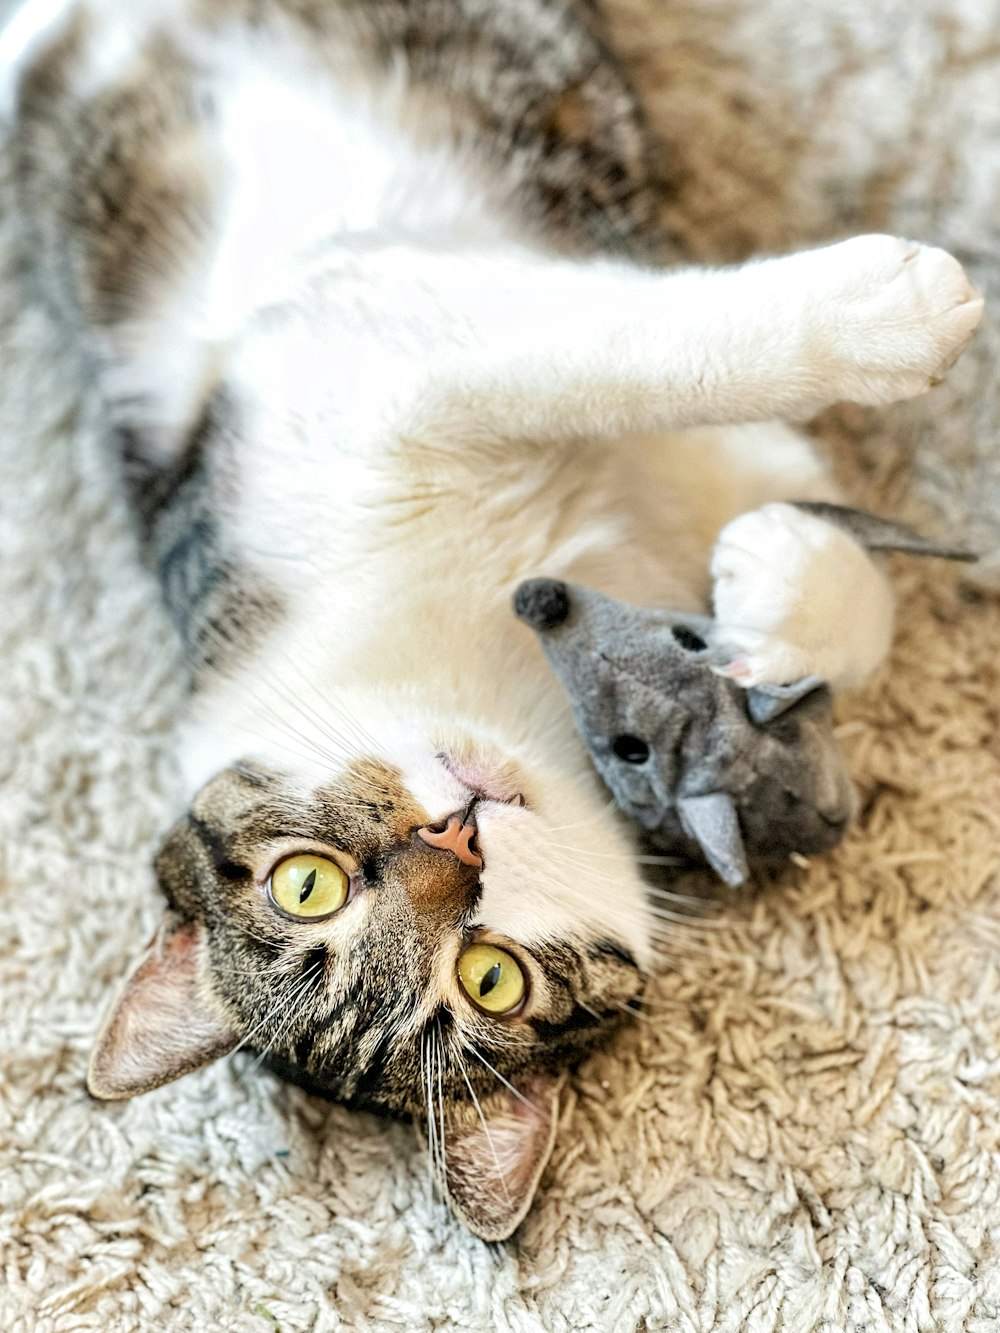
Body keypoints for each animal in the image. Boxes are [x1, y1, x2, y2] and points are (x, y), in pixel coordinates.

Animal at [0, 0, 981, 1237]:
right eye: (490, 977)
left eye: (303, 880)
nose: (453, 837)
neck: (492, 646)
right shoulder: (381, 341)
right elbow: (620, 352)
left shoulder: (380, 358)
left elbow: (634, 371)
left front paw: (781, 579)